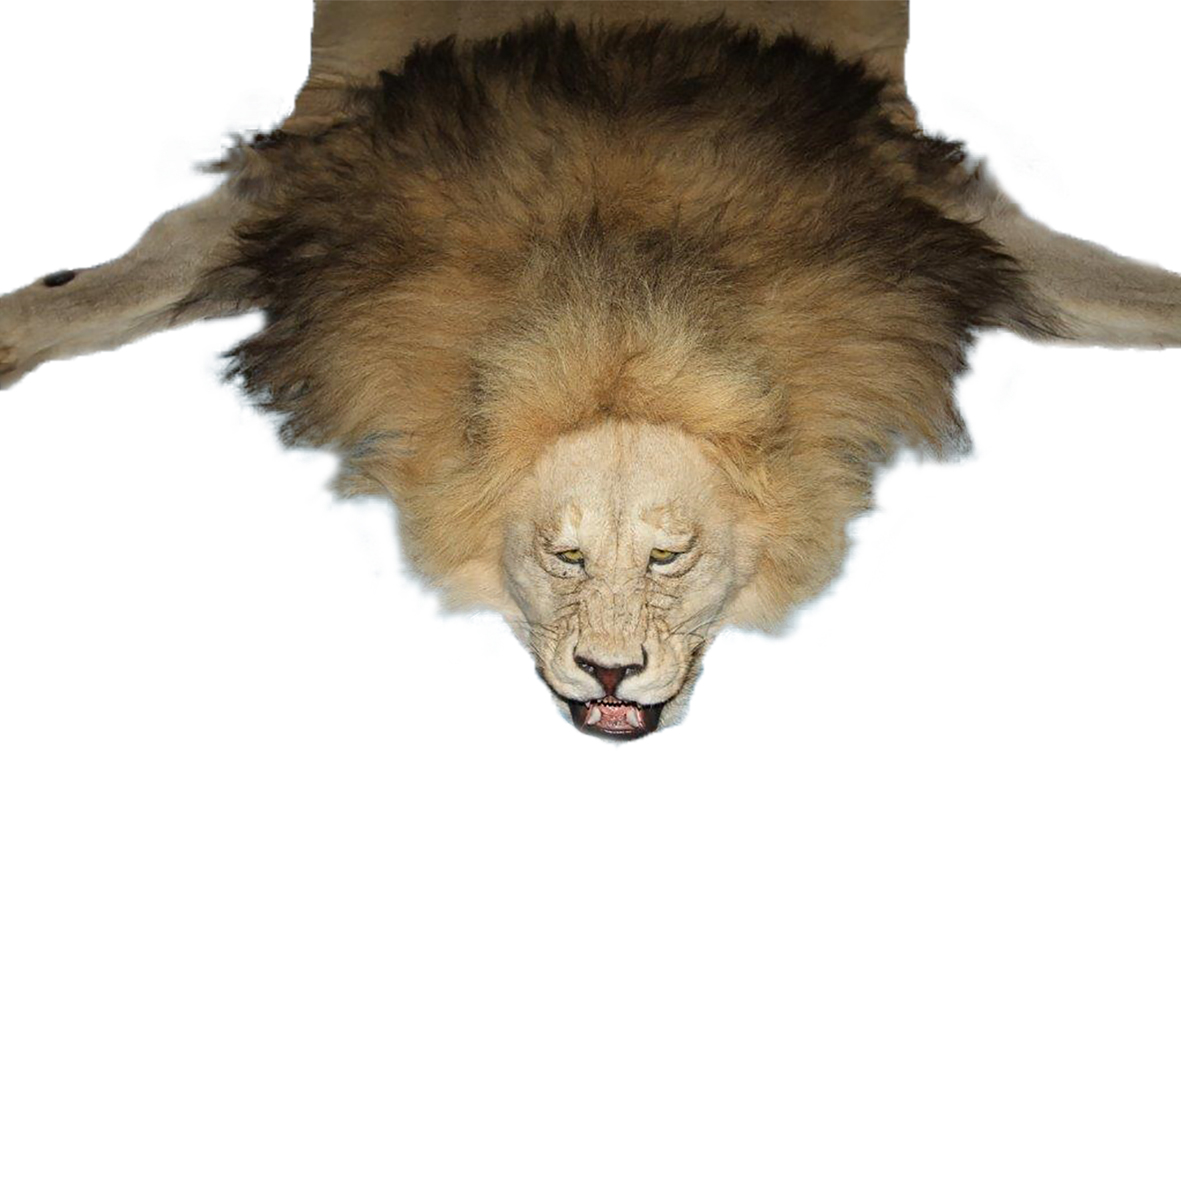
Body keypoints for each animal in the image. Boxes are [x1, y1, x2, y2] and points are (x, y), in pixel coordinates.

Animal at [2, 4, 1180, 740]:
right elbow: (118, 280)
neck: (619, 295)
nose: (609, 672)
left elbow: (1117, 289)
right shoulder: (311, 213)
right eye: (561, 556)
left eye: (669, 555)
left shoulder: (933, 228)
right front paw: (27, 321)